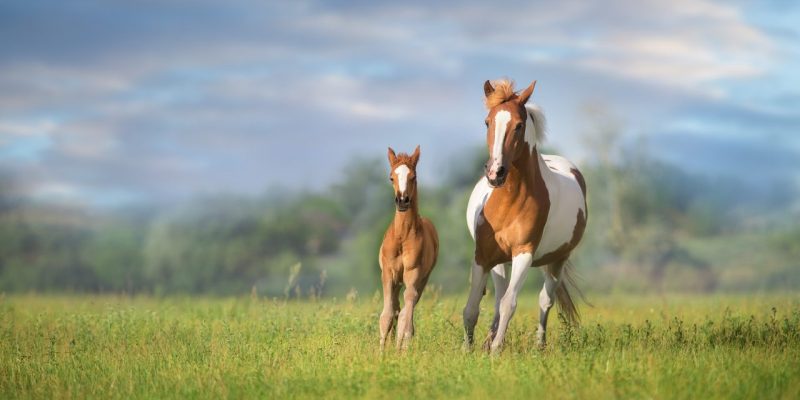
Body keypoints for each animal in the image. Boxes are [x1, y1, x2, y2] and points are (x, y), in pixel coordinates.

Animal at [380, 145, 440, 348]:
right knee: (397, 308)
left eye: (413, 177)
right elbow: (386, 315)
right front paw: (381, 351)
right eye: (391, 177)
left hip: (421, 280)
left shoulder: (413, 274)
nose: (402, 201)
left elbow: (405, 317)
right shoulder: (388, 273)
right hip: (398, 281)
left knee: (406, 309)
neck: (402, 237)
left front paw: (402, 347)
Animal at [462, 79, 588, 354]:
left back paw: (539, 346)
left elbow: (510, 303)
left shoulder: (524, 253)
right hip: (499, 262)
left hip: (557, 260)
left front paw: (496, 351)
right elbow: (472, 307)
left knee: (544, 300)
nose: (495, 173)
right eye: (487, 122)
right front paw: (468, 349)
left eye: (519, 126)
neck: (508, 202)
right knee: (498, 297)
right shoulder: (482, 256)